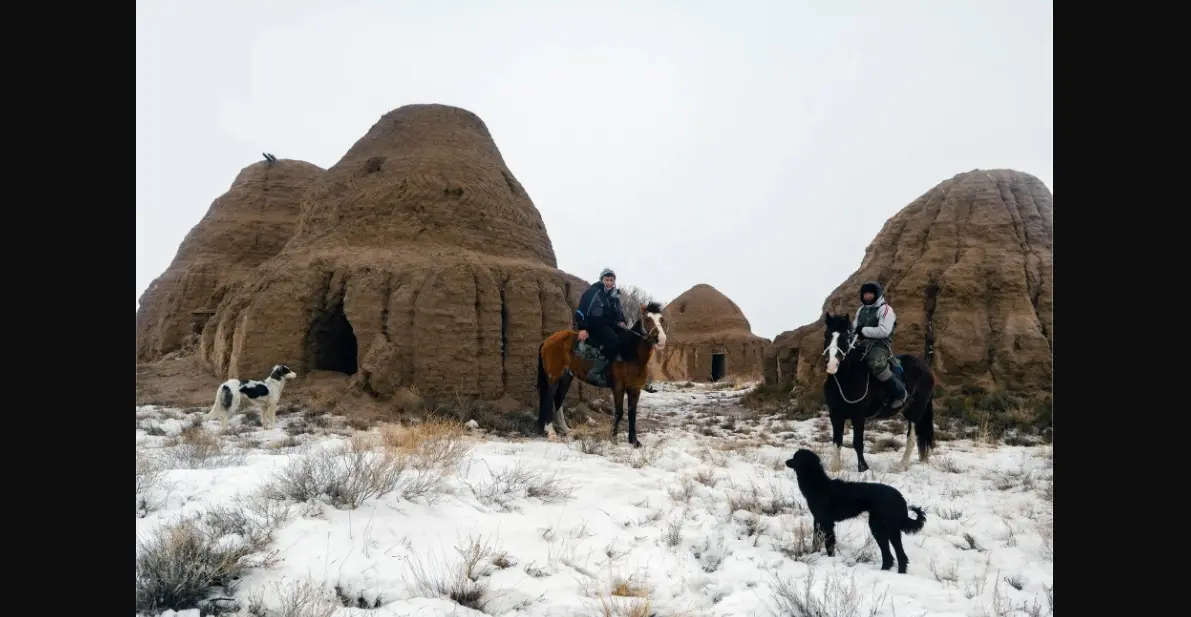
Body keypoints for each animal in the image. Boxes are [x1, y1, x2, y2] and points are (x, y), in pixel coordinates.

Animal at [535, 302, 666, 447]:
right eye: (647, 319)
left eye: (661, 319)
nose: (661, 340)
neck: (629, 353)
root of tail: (548, 341)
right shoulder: (618, 387)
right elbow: (619, 412)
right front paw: (613, 437)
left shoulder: (635, 389)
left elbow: (632, 414)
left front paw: (634, 441)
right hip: (553, 377)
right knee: (548, 400)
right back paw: (551, 433)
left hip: (566, 378)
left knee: (558, 401)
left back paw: (566, 430)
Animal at [786, 450, 924, 576]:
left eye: (795, 457)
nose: (786, 461)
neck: (817, 484)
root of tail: (900, 497)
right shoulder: (818, 521)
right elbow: (816, 541)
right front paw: (813, 555)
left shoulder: (827, 522)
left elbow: (829, 543)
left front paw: (830, 560)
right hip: (887, 529)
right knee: (896, 556)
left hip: (881, 528)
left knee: (895, 555)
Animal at [819, 314, 938, 474]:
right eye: (826, 335)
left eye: (845, 338)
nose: (832, 365)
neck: (847, 378)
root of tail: (926, 368)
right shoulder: (835, 414)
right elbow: (837, 441)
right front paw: (834, 468)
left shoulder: (858, 416)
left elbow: (857, 443)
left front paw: (863, 468)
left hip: (915, 411)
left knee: (912, 437)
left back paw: (902, 466)